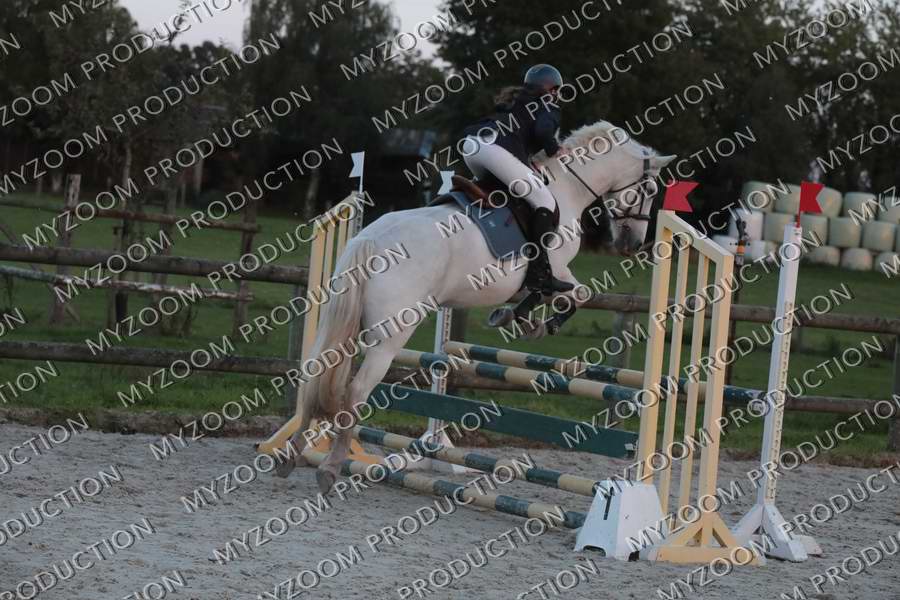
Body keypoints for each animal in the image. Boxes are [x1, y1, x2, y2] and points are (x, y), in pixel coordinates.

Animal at [281, 120, 676, 492]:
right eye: (650, 191)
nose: (633, 244)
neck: (567, 187)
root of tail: (371, 239)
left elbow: (550, 295)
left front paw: (514, 316)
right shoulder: (557, 269)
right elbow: (575, 293)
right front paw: (534, 323)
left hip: (347, 324)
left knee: (316, 372)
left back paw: (293, 454)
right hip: (391, 333)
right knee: (357, 391)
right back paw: (330, 469)